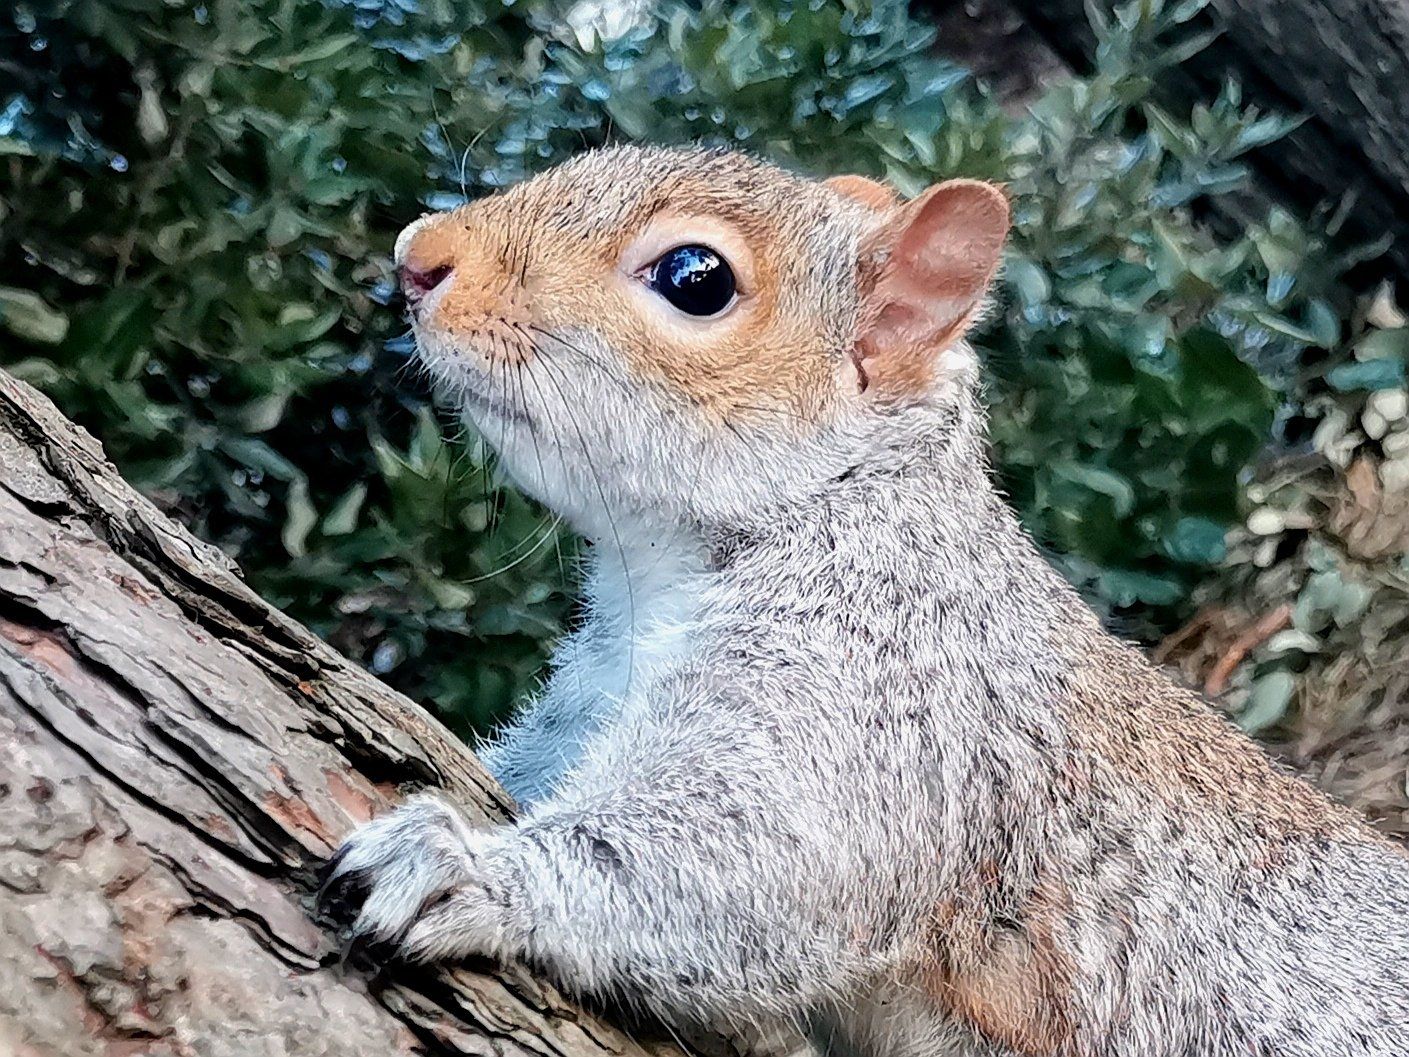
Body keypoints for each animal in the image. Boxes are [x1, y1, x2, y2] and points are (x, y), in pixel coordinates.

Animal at [324, 145, 1409, 1056]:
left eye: (694, 278)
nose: (417, 256)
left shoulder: (883, 698)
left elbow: (746, 861)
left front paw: (463, 867)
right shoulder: (590, 695)